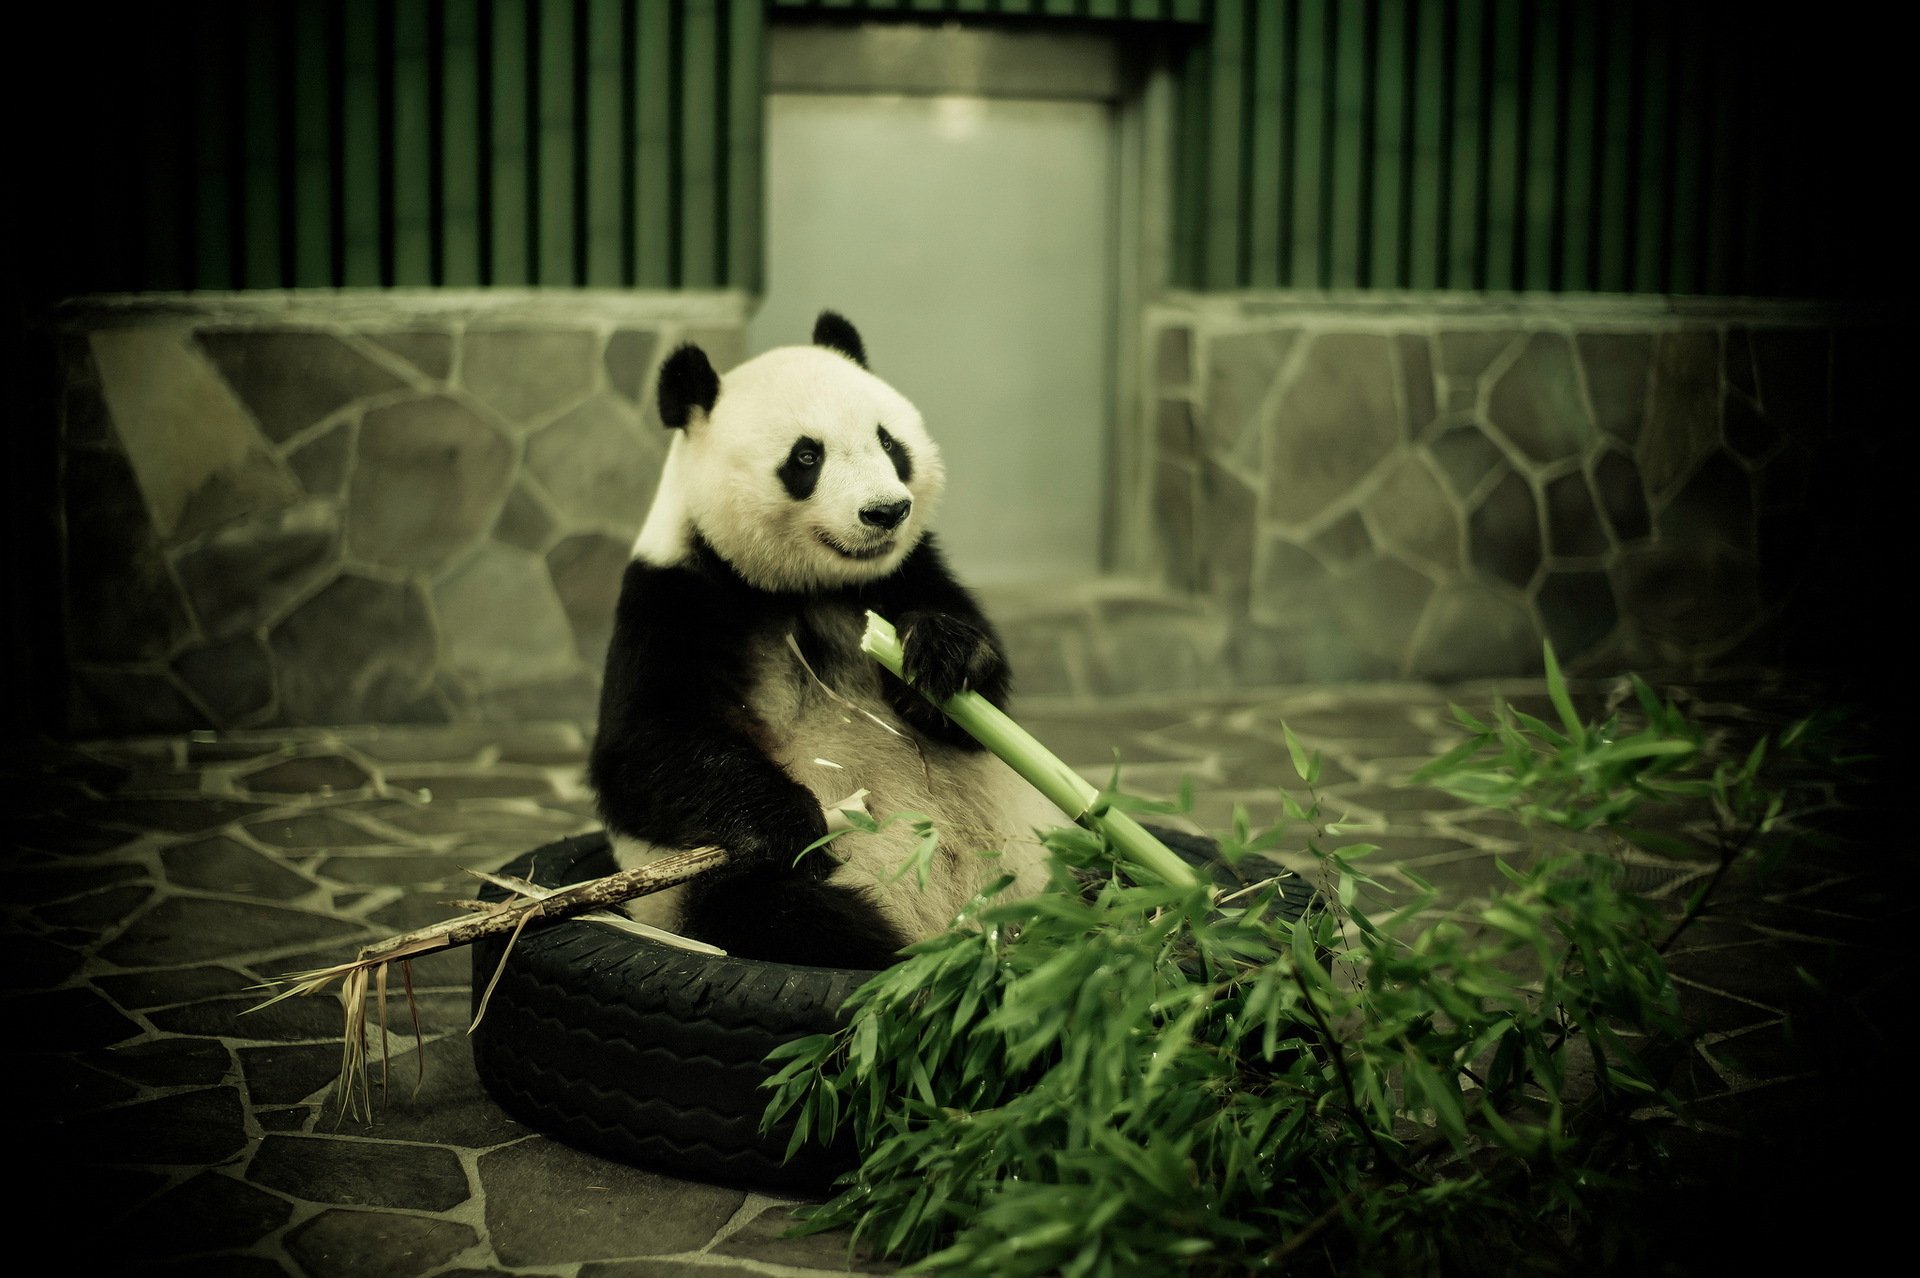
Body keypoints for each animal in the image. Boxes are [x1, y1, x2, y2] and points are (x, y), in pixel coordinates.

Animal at [587, 310, 1066, 970]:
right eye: (806, 456)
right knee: (783, 914)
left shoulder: (908, 573)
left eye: (889, 442)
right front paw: (789, 823)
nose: (886, 511)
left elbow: (981, 712)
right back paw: (905, 954)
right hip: (695, 895)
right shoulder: (673, 599)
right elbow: (645, 748)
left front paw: (942, 657)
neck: (804, 588)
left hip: (1044, 855)